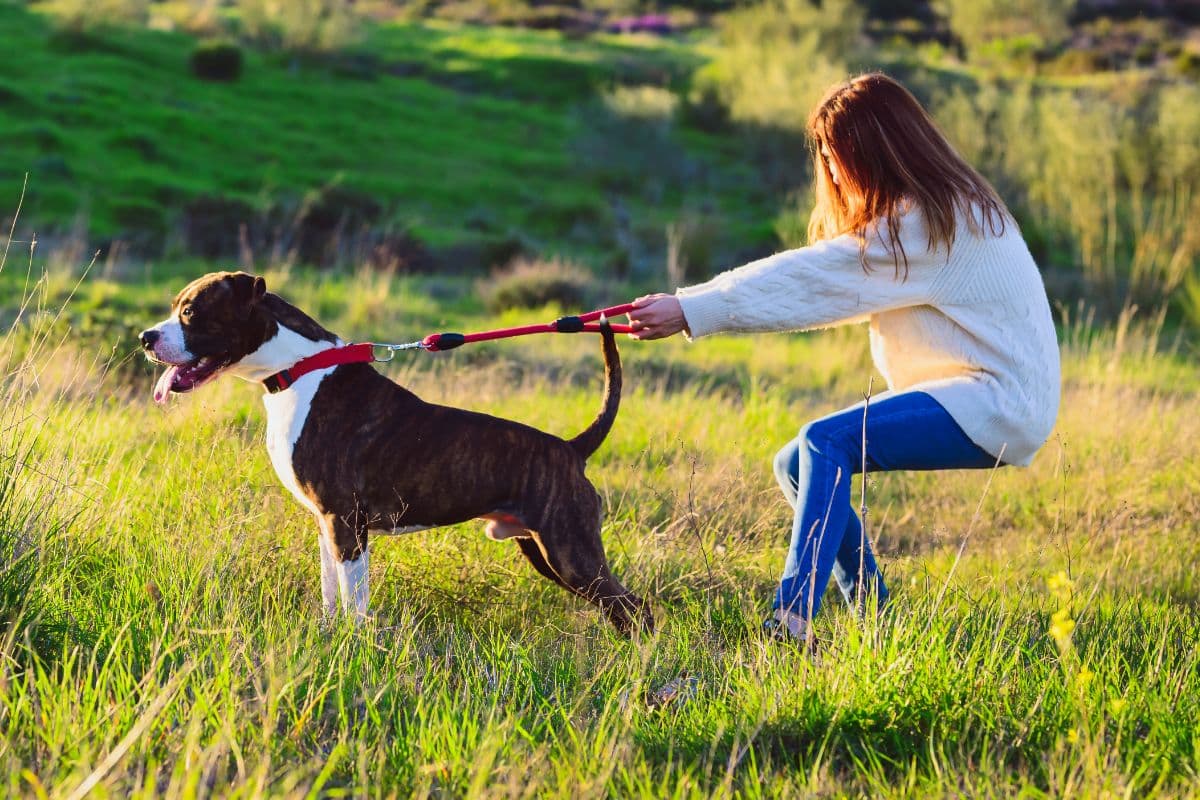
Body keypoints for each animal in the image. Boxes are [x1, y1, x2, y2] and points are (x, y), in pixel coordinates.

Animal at [140, 272, 657, 633]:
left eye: (191, 312)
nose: (146, 337)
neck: (300, 368)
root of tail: (571, 448)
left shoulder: (346, 522)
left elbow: (354, 601)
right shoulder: (326, 524)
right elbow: (331, 595)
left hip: (571, 552)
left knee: (636, 610)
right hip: (544, 550)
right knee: (622, 611)